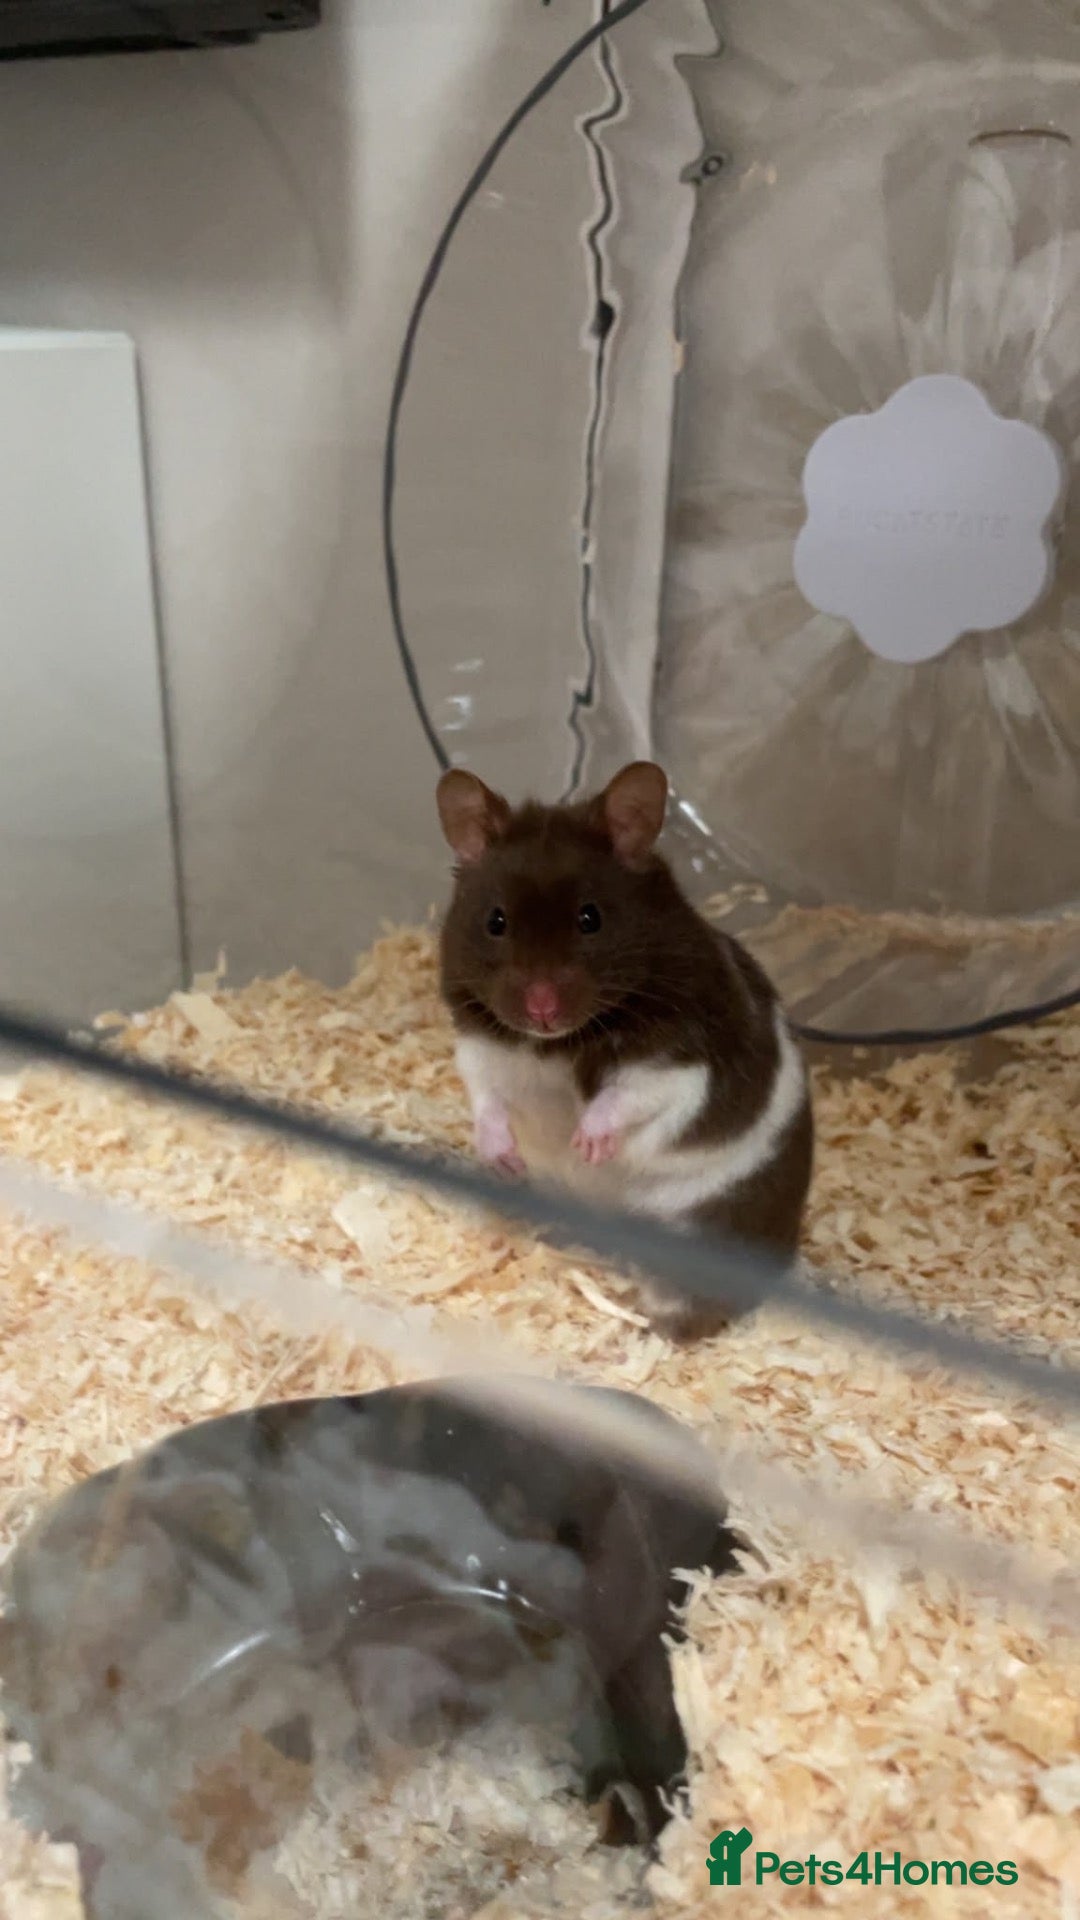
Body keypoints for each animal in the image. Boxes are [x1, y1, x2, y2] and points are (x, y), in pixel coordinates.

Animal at [435, 760, 813, 1340]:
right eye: (495, 921)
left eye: (590, 918)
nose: (542, 1008)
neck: (552, 1044)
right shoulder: (480, 1049)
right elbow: (486, 1100)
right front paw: (504, 1159)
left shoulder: (679, 1063)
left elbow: (624, 1098)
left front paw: (585, 1146)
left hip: (698, 1244)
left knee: (684, 1316)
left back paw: (630, 1334)